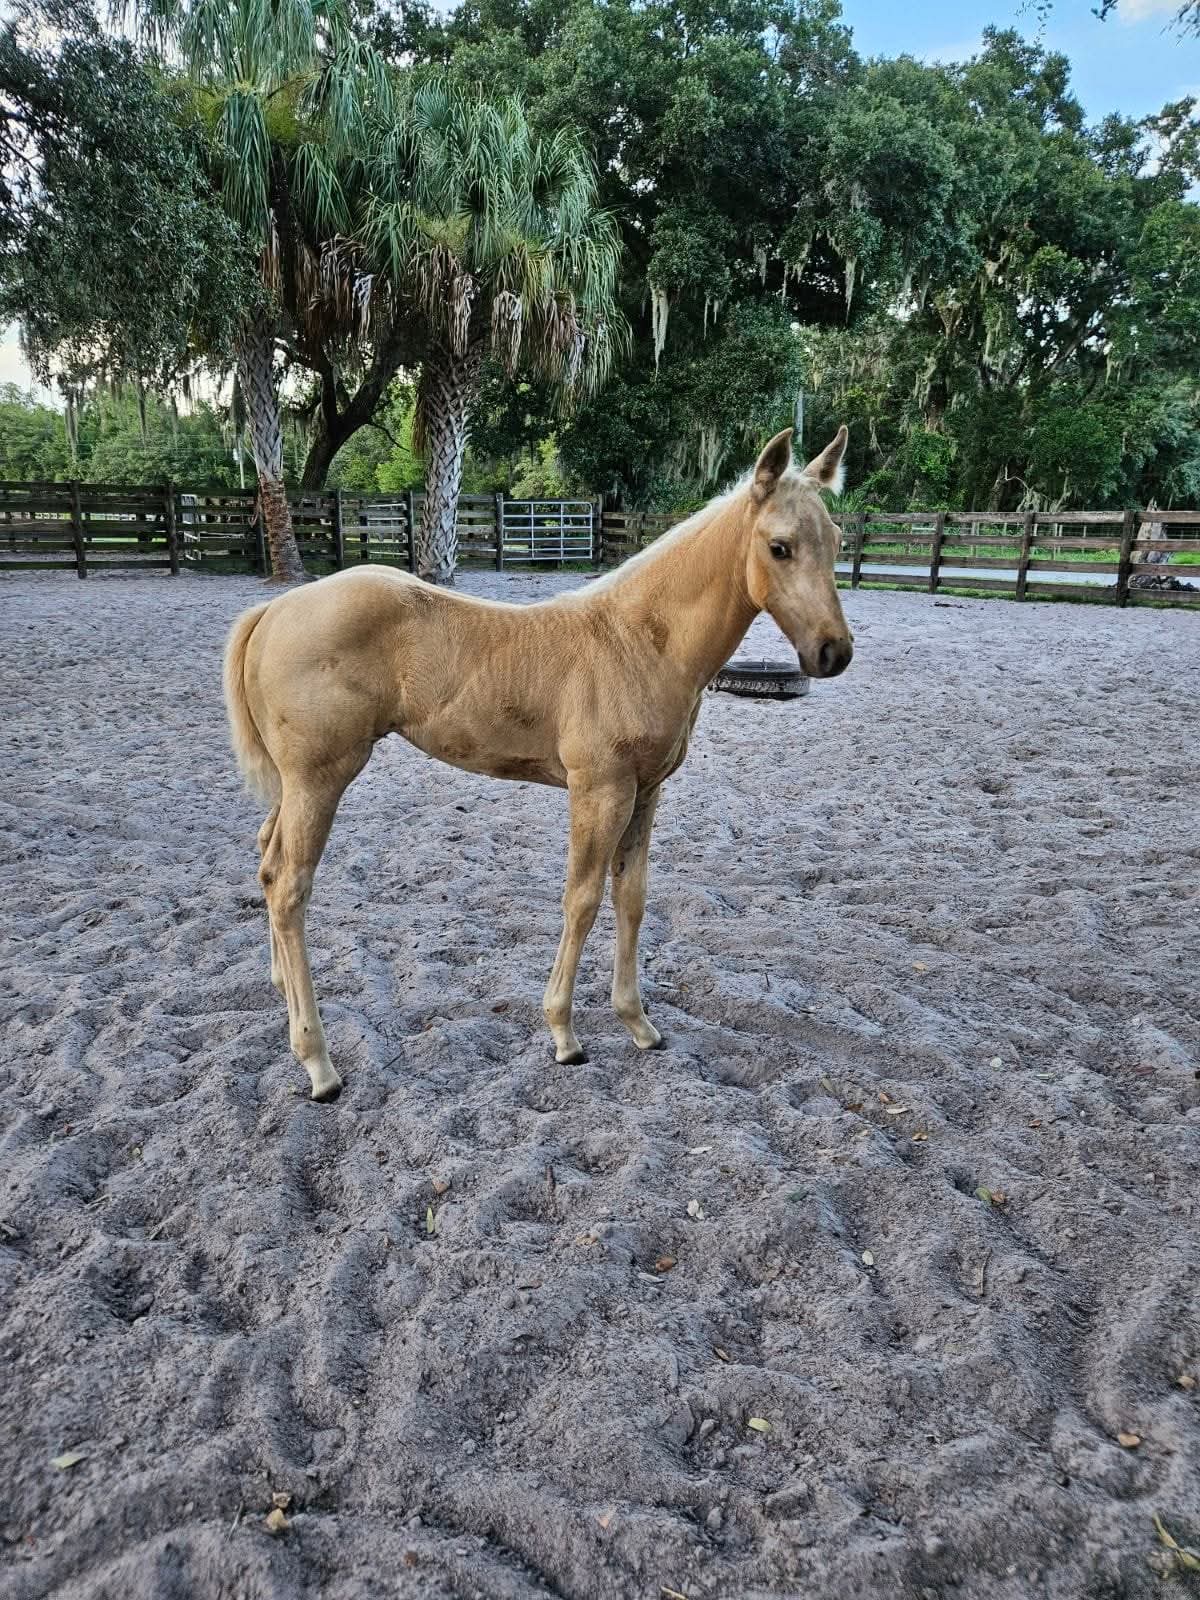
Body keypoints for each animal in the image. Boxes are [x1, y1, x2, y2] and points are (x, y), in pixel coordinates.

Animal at [223, 425, 854, 1100]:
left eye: (838, 541)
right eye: (780, 547)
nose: (833, 652)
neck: (639, 642)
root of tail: (274, 612)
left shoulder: (646, 791)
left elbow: (631, 896)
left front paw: (639, 1024)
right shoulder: (599, 789)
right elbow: (582, 899)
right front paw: (563, 1034)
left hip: (293, 783)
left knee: (266, 864)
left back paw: (281, 991)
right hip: (320, 779)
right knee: (291, 887)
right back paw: (318, 1063)